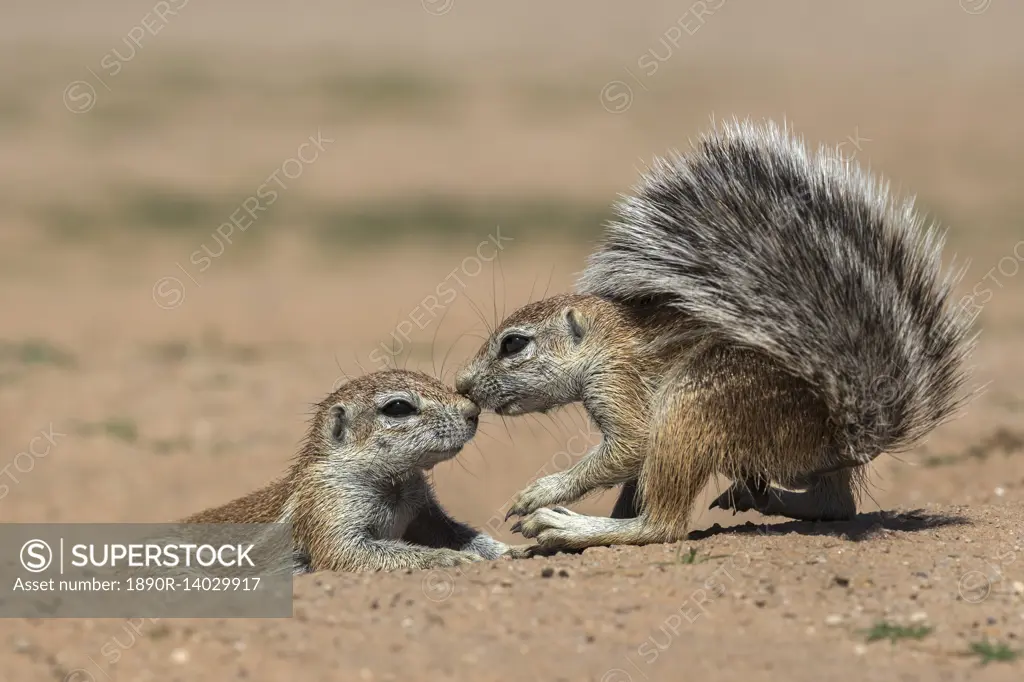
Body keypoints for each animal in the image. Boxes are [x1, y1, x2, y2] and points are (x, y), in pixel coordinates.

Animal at [182, 368, 509, 569]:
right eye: (398, 407)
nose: (473, 411)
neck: (394, 485)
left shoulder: (424, 509)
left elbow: (459, 532)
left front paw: (510, 551)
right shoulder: (327, 506)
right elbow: (346, 552)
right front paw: (447, 559)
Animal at [456, 119, 974, 548]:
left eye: (514, 344)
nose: (462, 384)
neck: (607, 339)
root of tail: (844, 429)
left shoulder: (618, 385)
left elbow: (630, 449)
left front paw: (541, 493)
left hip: (690, 408)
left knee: (662, 526)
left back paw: (572, 529)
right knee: (835, 505)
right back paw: (767, 499)